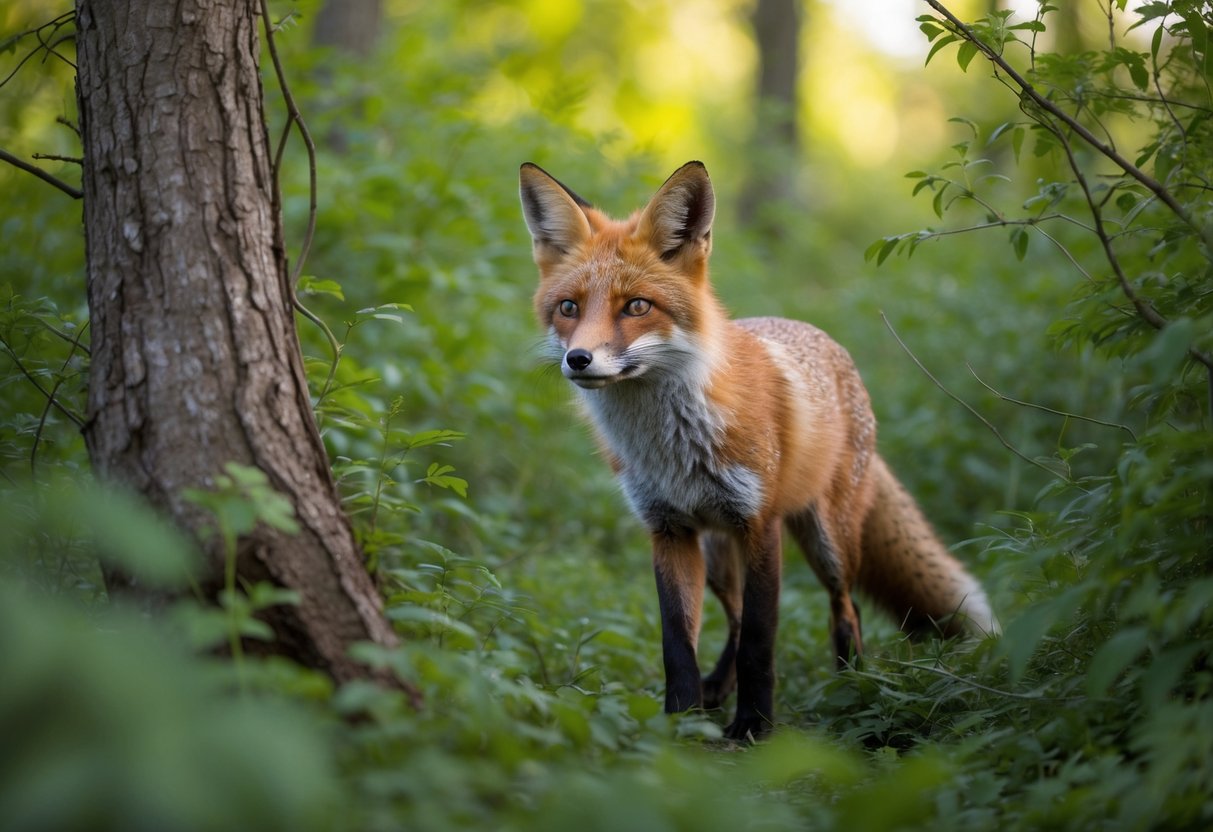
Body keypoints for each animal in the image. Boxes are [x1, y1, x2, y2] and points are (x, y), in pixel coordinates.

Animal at [519, 160, 998, 740]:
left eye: (636, 306)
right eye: (568, 307)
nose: (579, 360)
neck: (671, 445)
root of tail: (824, 340)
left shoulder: (760, 524)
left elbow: (759, 643)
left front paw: (752, 726)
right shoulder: (667, 529)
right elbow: (678, 643)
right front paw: (679, 724)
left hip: (827, 542)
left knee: (845, 609)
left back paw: (853, 689)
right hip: (717, 557)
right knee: (735, 617)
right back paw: (715, 692)